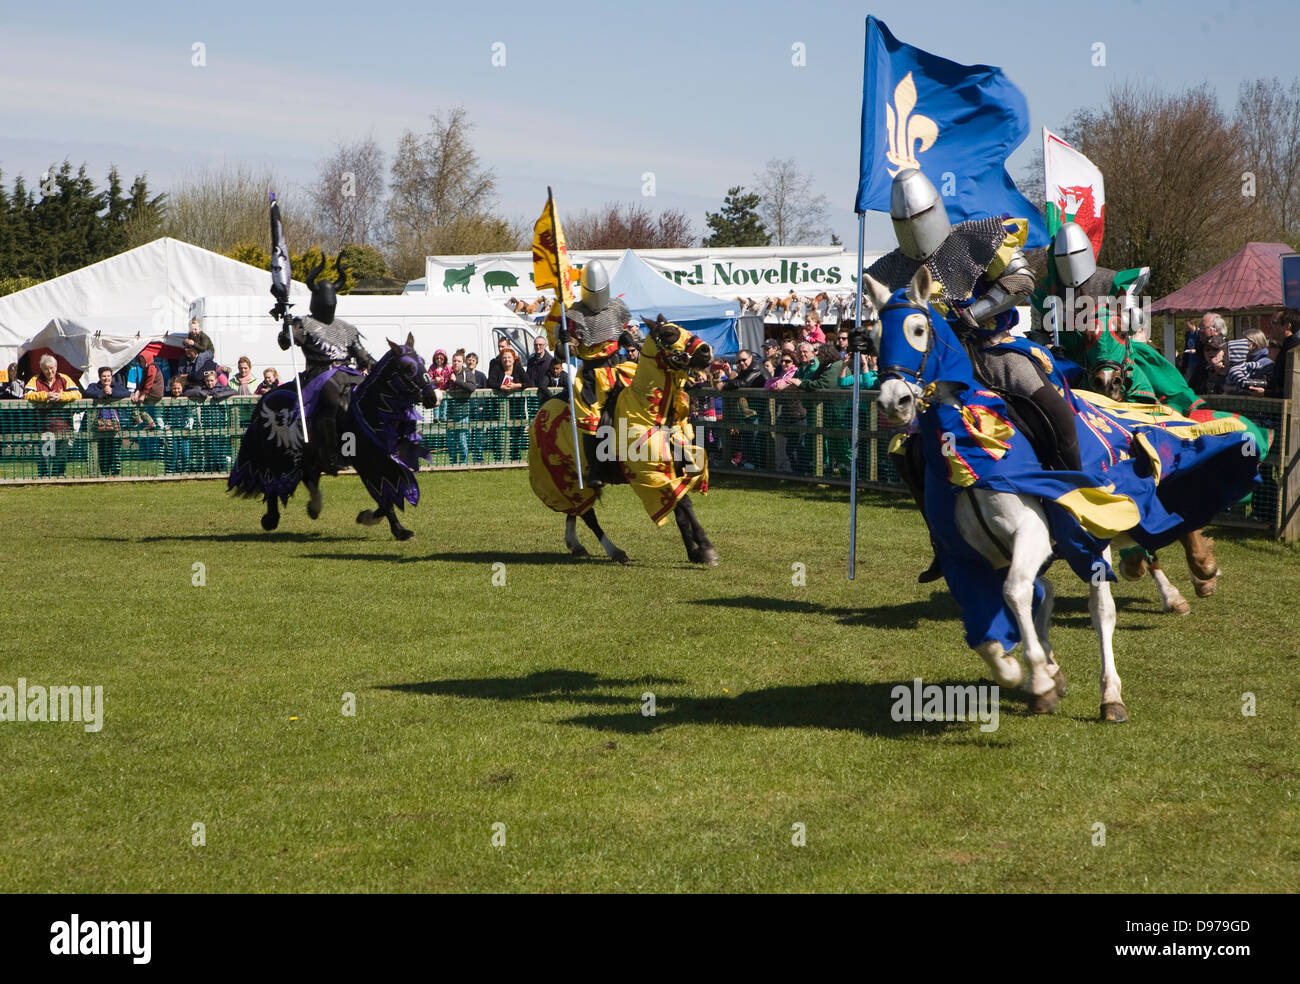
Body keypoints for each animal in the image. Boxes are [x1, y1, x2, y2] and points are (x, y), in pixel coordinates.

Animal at [228, 335, 441, 538]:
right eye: (408, 367)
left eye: (423, 361)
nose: (433, 397)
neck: (371, 409)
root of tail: (266, 397)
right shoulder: (367, 464)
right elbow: (385, 497)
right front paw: (399, 531)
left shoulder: (388, 462)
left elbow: (391, 493)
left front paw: (368, 517)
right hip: (277, 453)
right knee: (272, 481)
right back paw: (271, 518)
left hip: (306, 454)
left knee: (307, 476)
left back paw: (314, 506)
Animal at [527, 314, 722, 561]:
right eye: (668, 333)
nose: (707, 350)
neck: (649, 413)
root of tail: (541, 413)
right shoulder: (650, 475)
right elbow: (684, 503)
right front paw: (706, 548)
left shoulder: (672, 470)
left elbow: (680, 510)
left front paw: (694, 551)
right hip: (565, 477)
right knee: (588, 515)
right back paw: (614, 551)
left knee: (577, 510)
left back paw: (575, 544)